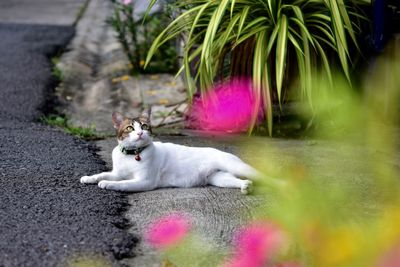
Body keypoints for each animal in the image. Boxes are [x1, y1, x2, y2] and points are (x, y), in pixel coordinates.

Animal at [79, 111, 258, 195]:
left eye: (144, 126)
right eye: (130, 128)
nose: (140, 133)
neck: (130, 154)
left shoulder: (145, 181)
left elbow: (123, 184)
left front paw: (108, 184)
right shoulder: (117, 173)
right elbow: (102, 174)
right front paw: (89, 178)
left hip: (236, 167)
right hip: (219, 178)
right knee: (237, 181)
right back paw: (245, 186)